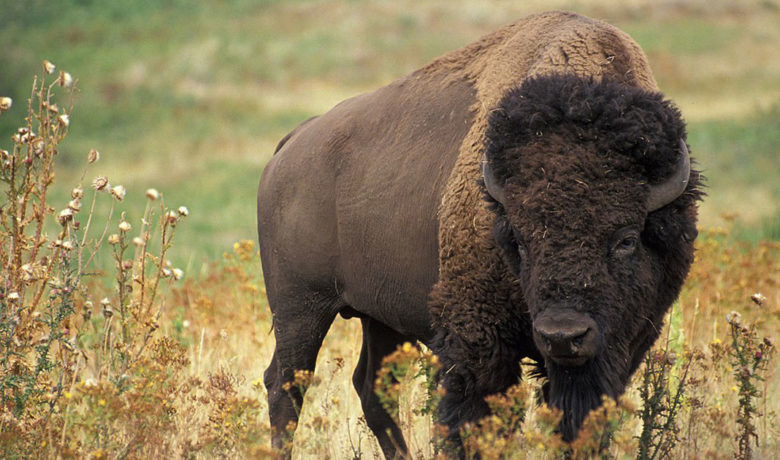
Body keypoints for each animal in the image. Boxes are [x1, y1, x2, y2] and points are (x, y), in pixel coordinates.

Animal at [257, 10, 702, 458]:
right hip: (300, 307)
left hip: (378, 316)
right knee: (285, 384)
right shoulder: (478, 341)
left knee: (371, 387)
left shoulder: (622, 346)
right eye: (519, 240)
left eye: (626, 239)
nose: (563, 335)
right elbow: (472, 419)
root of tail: (290, 145)